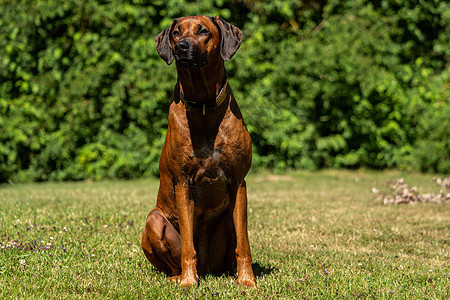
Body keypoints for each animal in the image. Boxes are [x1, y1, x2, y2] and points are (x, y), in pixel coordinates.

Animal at [140, 16, 256, 288]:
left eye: (203, 31)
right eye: (176, 32)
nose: (181, 47)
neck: (204, 105)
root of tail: (207, 268)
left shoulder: (239, 182)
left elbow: (244, 243)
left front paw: (247, 280)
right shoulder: (183, 182)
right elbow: (187, 246)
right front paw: (188, 282)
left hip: (226, 220)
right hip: (154, 220)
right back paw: (179, 276)